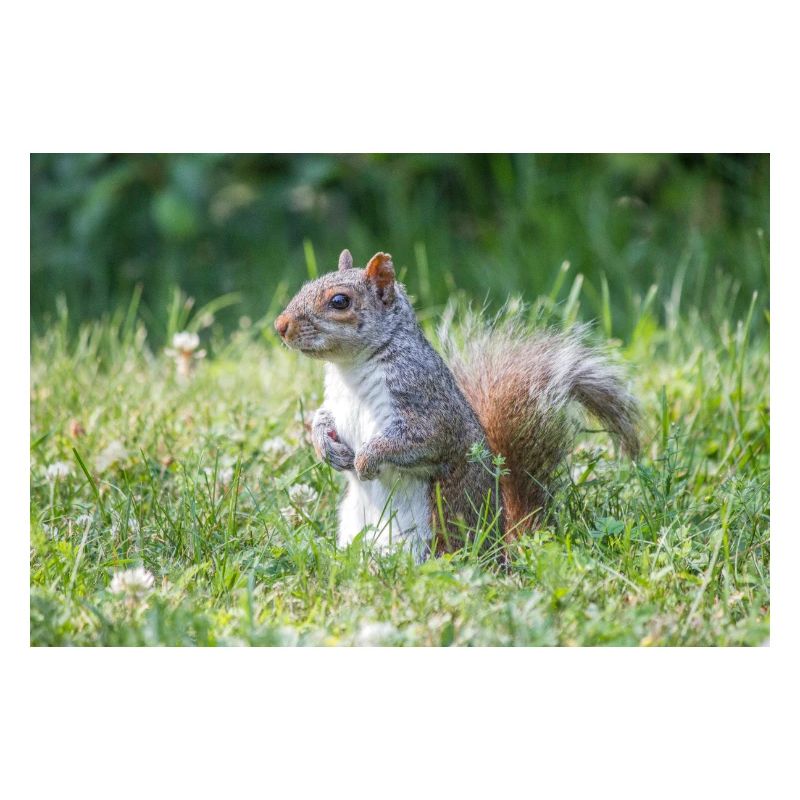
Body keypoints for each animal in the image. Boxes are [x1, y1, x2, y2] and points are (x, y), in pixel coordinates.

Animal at [275, 249, 640, 562]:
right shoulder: (335, 401)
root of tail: (500, 548)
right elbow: (322, 418)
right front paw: (325, 447)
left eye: (340, 301)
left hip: (428, 540)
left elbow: (421, 439)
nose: (280, 325)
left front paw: (367, 459)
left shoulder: (426, 403)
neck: (349, 368)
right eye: (306, 285)